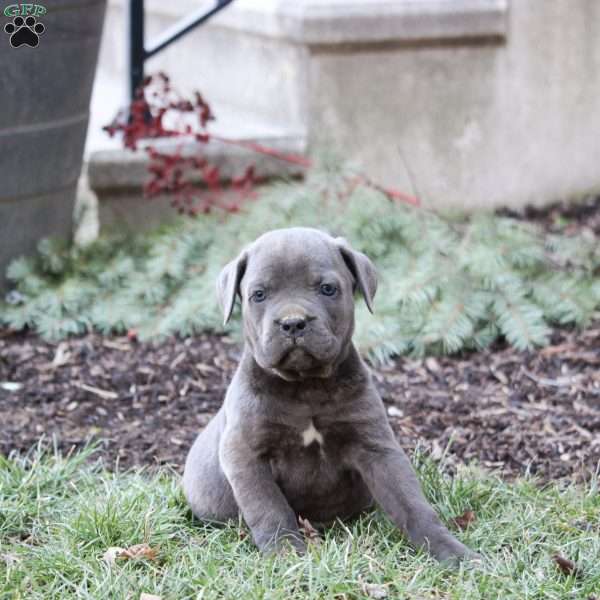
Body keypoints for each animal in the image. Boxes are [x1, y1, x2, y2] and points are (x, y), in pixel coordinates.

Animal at [183, 226, 478, 564]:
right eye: (259, 294)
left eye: (327, 289)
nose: (293, 322)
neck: (306, 386)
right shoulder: (246, 453)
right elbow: (269, 508)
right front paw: (287, 556)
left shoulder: (376, 447)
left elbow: (412, 503)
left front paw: (452, 552)